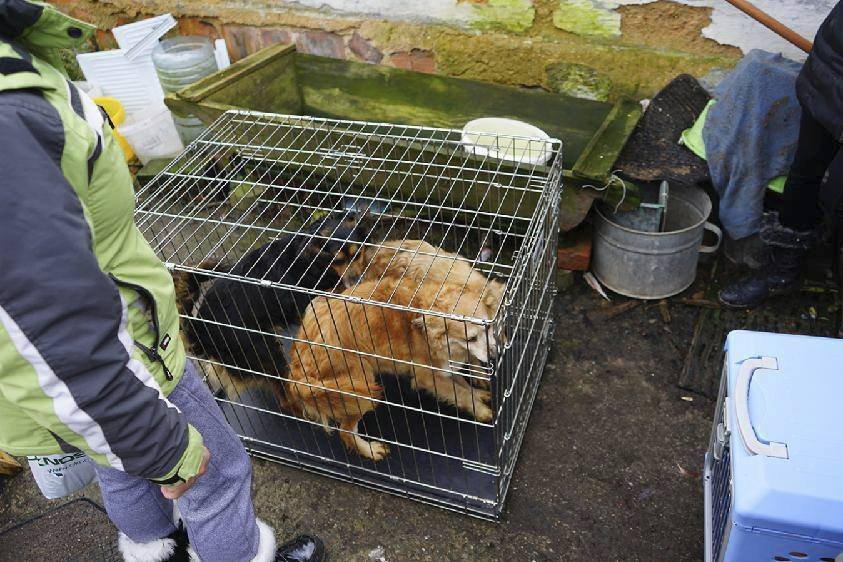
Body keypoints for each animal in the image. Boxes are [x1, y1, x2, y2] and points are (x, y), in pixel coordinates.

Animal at [286, 274, 498, 458]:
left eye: (488, 327)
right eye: (471, 338)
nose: (494, 354)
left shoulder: (444, 367)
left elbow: (463, 386)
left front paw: (478, 395)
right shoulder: (427, 376)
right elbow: (460, 393)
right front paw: (481, 411)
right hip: (361, 386)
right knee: (345, 430)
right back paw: (370, 451)